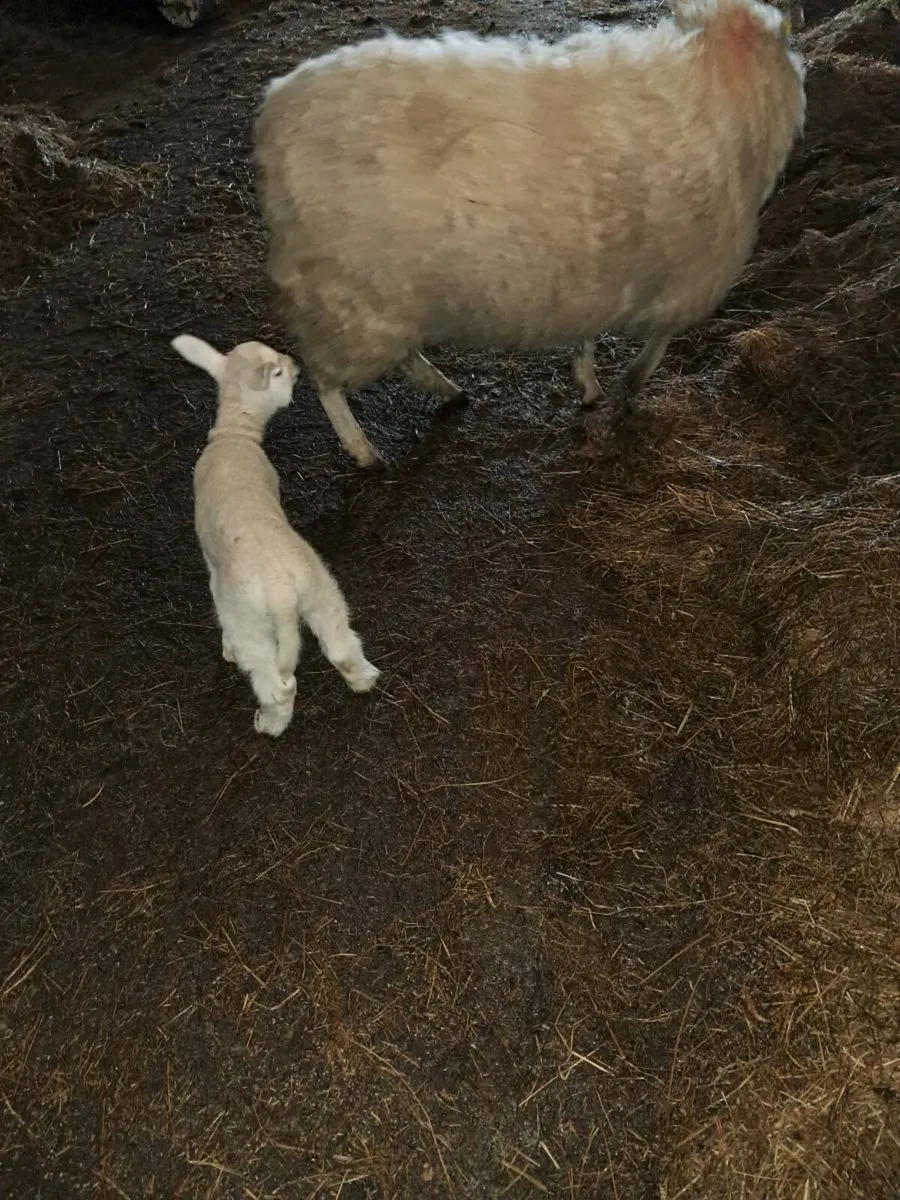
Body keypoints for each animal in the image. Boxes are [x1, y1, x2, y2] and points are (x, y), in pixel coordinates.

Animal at [172, 333, 381, 737]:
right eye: (278, 371)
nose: (296, 365)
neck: (235, 433)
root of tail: (283, 594)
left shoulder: (214, 571)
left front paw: (226, 648)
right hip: (321, 590)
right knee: (341, 646)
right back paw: (363, 679)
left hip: (252, 623)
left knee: (278, 684)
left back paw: (270, 722)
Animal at [253, 0, 806, 467]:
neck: (720, 79)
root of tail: (275, 114)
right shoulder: (686, 277)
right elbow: (652, 349)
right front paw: (624, 390)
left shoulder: (601, 269)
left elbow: (588, 336)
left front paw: (588, 384)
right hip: (343, 290)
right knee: (326, 381)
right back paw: (363, 449)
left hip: (380, 294)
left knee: (398, 355)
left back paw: (446, 390)